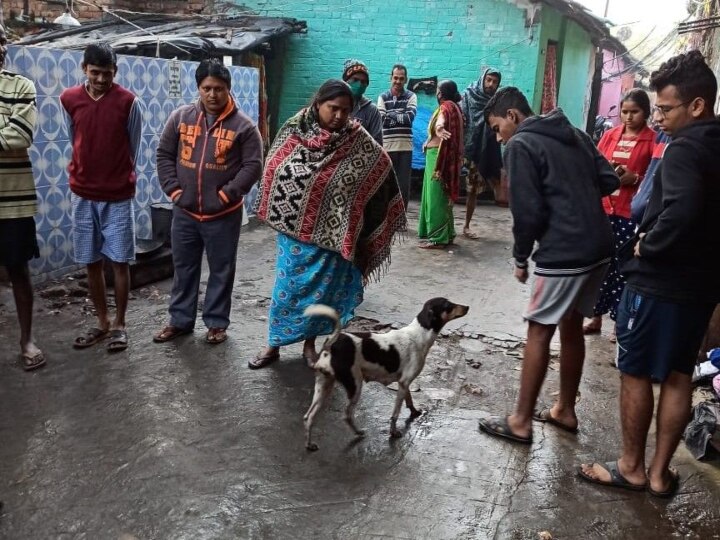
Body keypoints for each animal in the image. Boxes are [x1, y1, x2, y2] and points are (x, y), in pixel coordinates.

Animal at [300, 298, 470, 450]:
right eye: (448, 305)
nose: (467, 307)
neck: (420, 333)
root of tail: (331, 345)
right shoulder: (404, 382)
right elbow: (395, 414)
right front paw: (393, 432)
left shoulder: (404, 382)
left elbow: (409, 399)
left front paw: (414, 412)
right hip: (355, 386)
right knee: (347, 415)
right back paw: (358, 432)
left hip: (323, 386)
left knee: (308, 416)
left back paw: (309, 444)